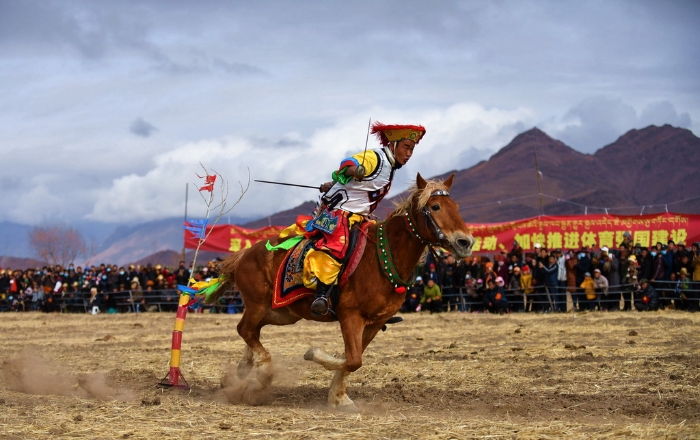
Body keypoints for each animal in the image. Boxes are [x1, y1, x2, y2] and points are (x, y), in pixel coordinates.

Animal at [211, 173, 474, 412]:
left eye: (456, 207)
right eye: (435, 206)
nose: (466, 242)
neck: (382, 256)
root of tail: (244, 255)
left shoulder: (375, 322)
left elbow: (351, 360)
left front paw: (339, 397)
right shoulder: (350, 316)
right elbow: (353, 359)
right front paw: (314, 355)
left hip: (282, 312)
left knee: (253, 330)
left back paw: (244, 369)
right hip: (258, 304)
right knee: (245, 329)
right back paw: (262, 372)